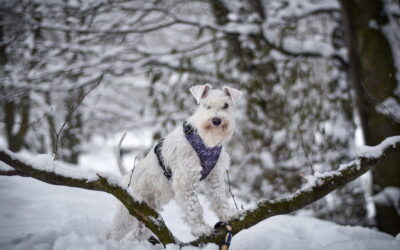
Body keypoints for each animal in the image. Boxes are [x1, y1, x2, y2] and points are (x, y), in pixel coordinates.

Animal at [106, 84, 242, 242]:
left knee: (137, 235)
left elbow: (219, 197)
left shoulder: (214, 177)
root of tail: (127, 176)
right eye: (205, 105)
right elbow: (194, 208)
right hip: (128, 212)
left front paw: (228, 214)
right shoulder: (186, 181)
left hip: (147, 215)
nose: (216, 120)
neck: (205, 141)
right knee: (112, 233)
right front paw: (201, 229)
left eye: (226, 105)